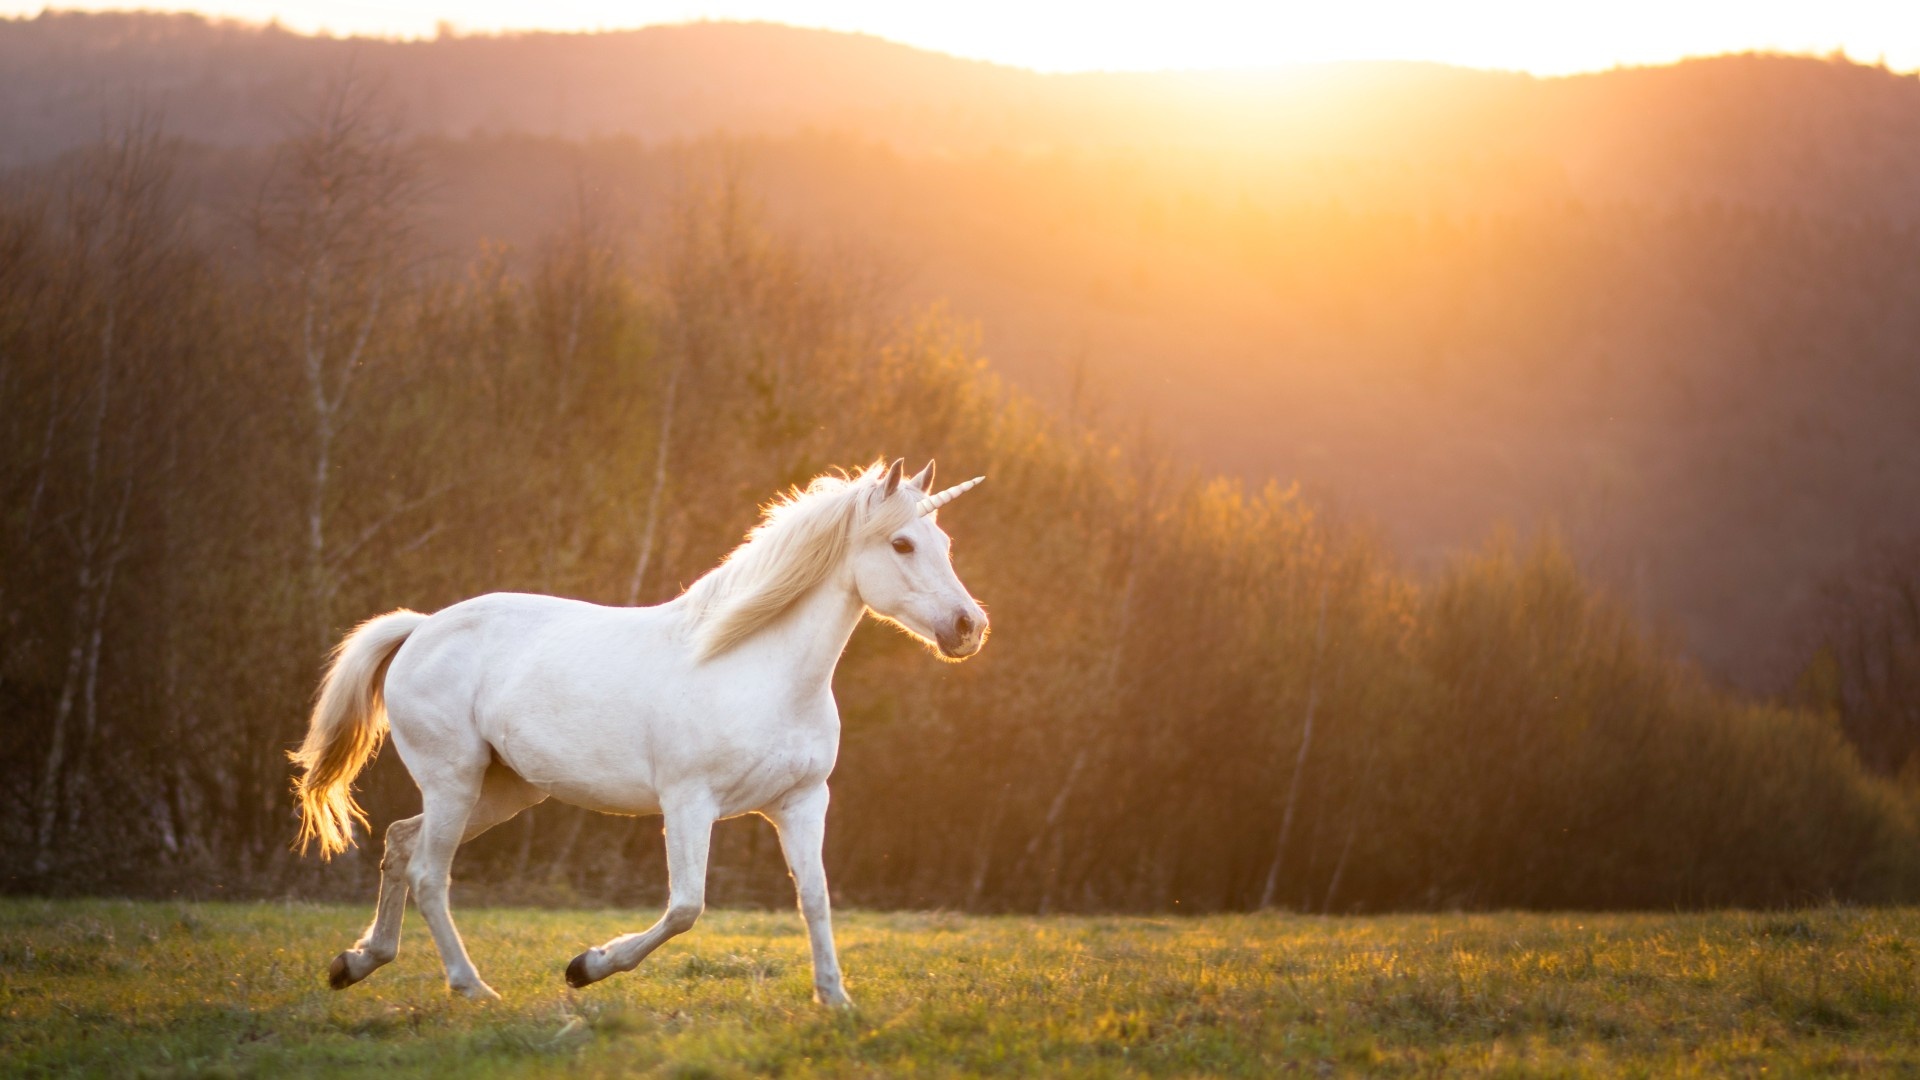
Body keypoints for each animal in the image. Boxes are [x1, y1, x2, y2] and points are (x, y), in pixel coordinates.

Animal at [295, 455, 1006, 999]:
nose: (968, 628)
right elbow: (686, 906)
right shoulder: (689, 802)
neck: (755, 669)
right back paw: (471, 987)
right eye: (902, 544)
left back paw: (355, 963)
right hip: (455, 781)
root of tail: (421, 628)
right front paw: (586, 967)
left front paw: (835, 1001)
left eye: (944, 545)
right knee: (428, 873)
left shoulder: (801, 803)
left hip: (501, 790)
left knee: (399, 842)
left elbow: (816, 899)